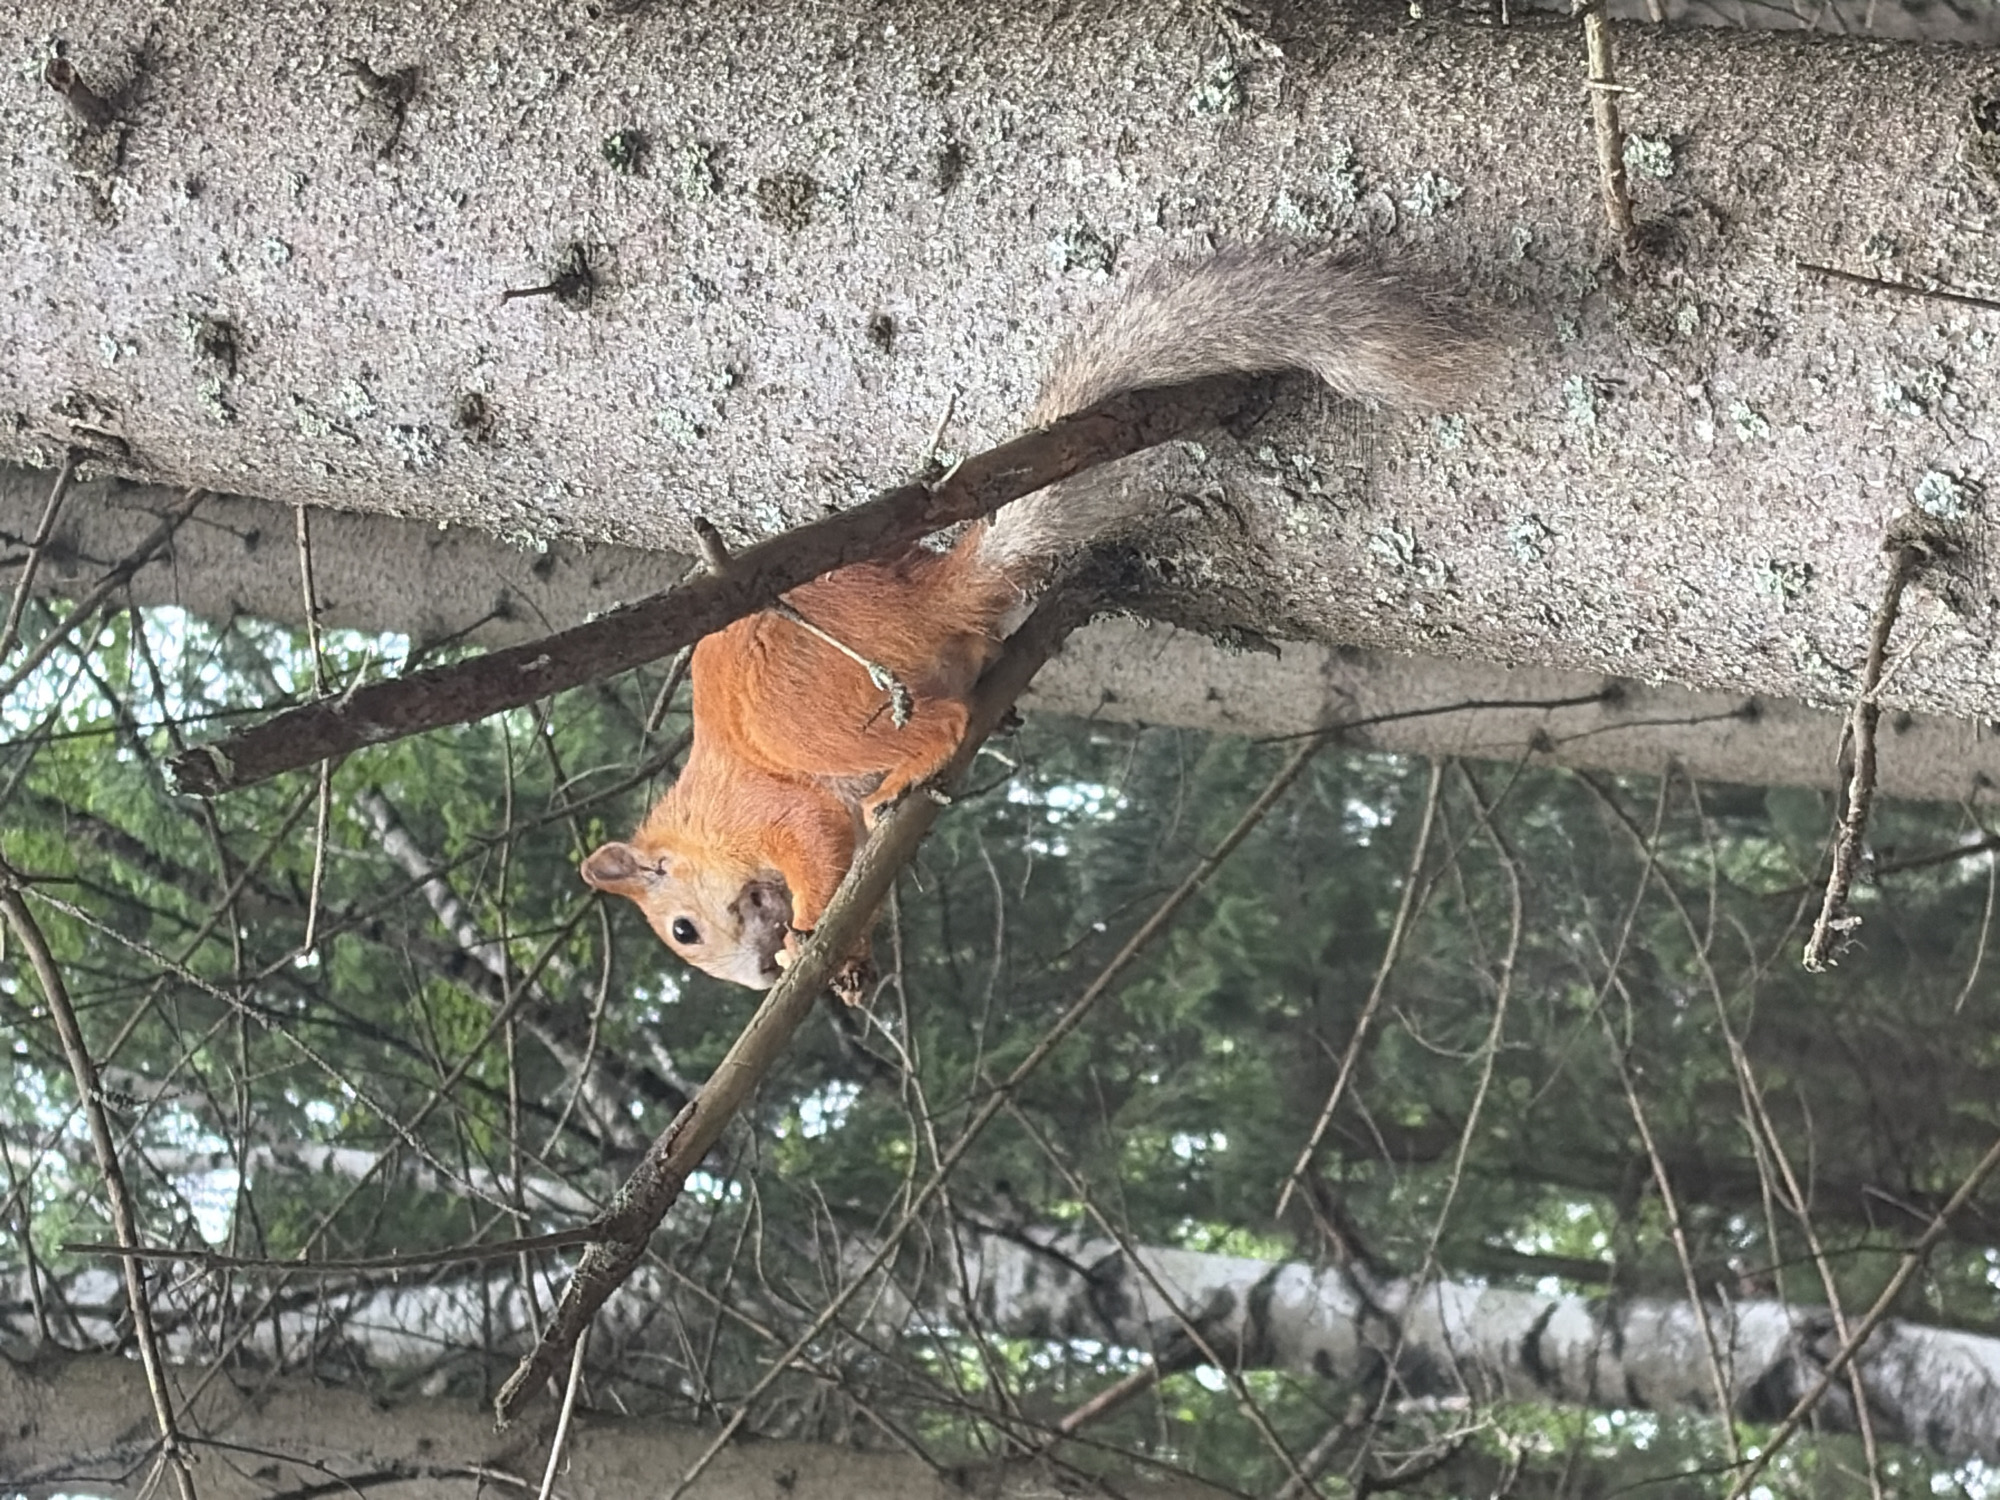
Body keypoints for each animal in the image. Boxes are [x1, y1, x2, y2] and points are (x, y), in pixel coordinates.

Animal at [580, 246, 1487, 994]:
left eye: (683, 930)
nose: (763, 976)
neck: (709, 815)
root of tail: (918, 601)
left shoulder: (776, 808)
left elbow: (816, 847)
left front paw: (810, 933)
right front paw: (849, 952)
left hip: (814, 712)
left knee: (936, 724)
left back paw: (910, 772)